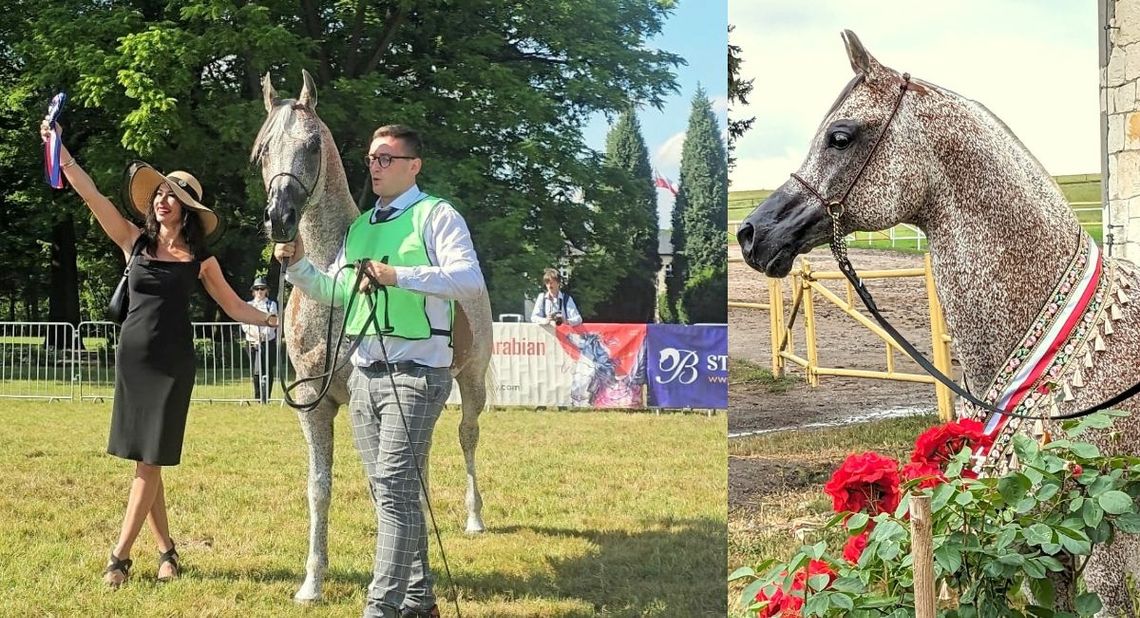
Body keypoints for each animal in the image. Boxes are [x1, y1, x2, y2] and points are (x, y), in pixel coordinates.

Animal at [254, 71, 494, 606]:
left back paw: (473, 518)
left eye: (312, 144)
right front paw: (312, 583)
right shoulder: (315, 405)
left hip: (471, 381)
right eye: (263, 149)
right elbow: (320, 488)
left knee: (466, 439)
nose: (280, 218)